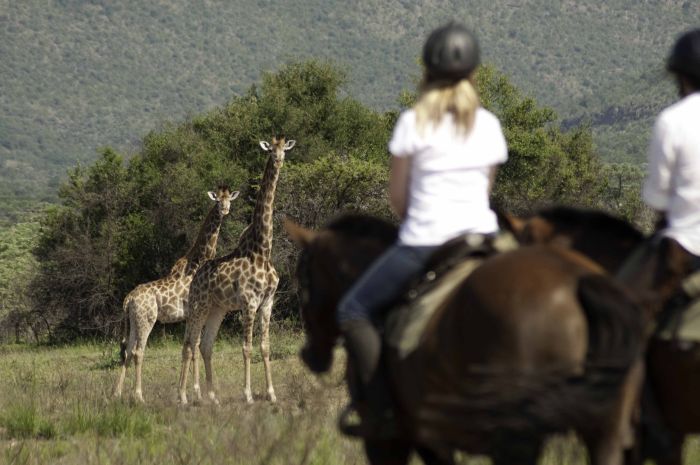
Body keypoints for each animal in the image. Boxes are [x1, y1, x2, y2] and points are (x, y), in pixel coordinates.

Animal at [112, 185, 238, 402]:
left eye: (229, 198)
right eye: (217, 200)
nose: (225, 209)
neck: (200, 260)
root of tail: (128, 300)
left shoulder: (190, 315)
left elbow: (191, 347)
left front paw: (191, 391)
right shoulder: (197, 312)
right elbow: (194, 347)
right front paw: (195, 392)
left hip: (134, 321)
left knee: (127, 351)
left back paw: (118, 394)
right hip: (147, 319)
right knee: (138, 351)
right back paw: (139, 396)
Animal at [178, 136, 296, 404]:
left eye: (284, 149)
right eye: (270, 149)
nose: (278, 159)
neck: (262, 249)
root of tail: (195, 278)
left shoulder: (267, 302)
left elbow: (265, 347)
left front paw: (271, 394)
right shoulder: (249, 302)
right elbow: (247, 348)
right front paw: (248, 395)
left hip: (217, 309)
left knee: (205, 345)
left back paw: (213, 397)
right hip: (199, 306)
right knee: (190, 344)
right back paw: (183, 397)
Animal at [286, 214, 644, 464]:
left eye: (303, 278)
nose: (310, 356)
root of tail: (578, 282)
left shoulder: (393, 440)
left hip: (516, 439)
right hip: (606, 431)